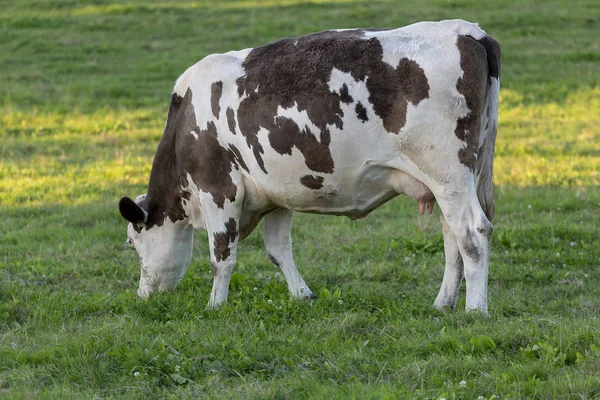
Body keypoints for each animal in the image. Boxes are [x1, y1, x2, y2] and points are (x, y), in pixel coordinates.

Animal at [118, 19, 502, 316]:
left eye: (133, 242)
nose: (143, 296)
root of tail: (471, 32)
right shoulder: (275, 192)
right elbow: (278, 251)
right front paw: (302, 294)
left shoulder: (218, 187)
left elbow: (221, 255)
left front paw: (215, 305)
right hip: (451, 180)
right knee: (452, 236)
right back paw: (443, 303)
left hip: (446, 171)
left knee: (472, 233)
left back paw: (475, 310)